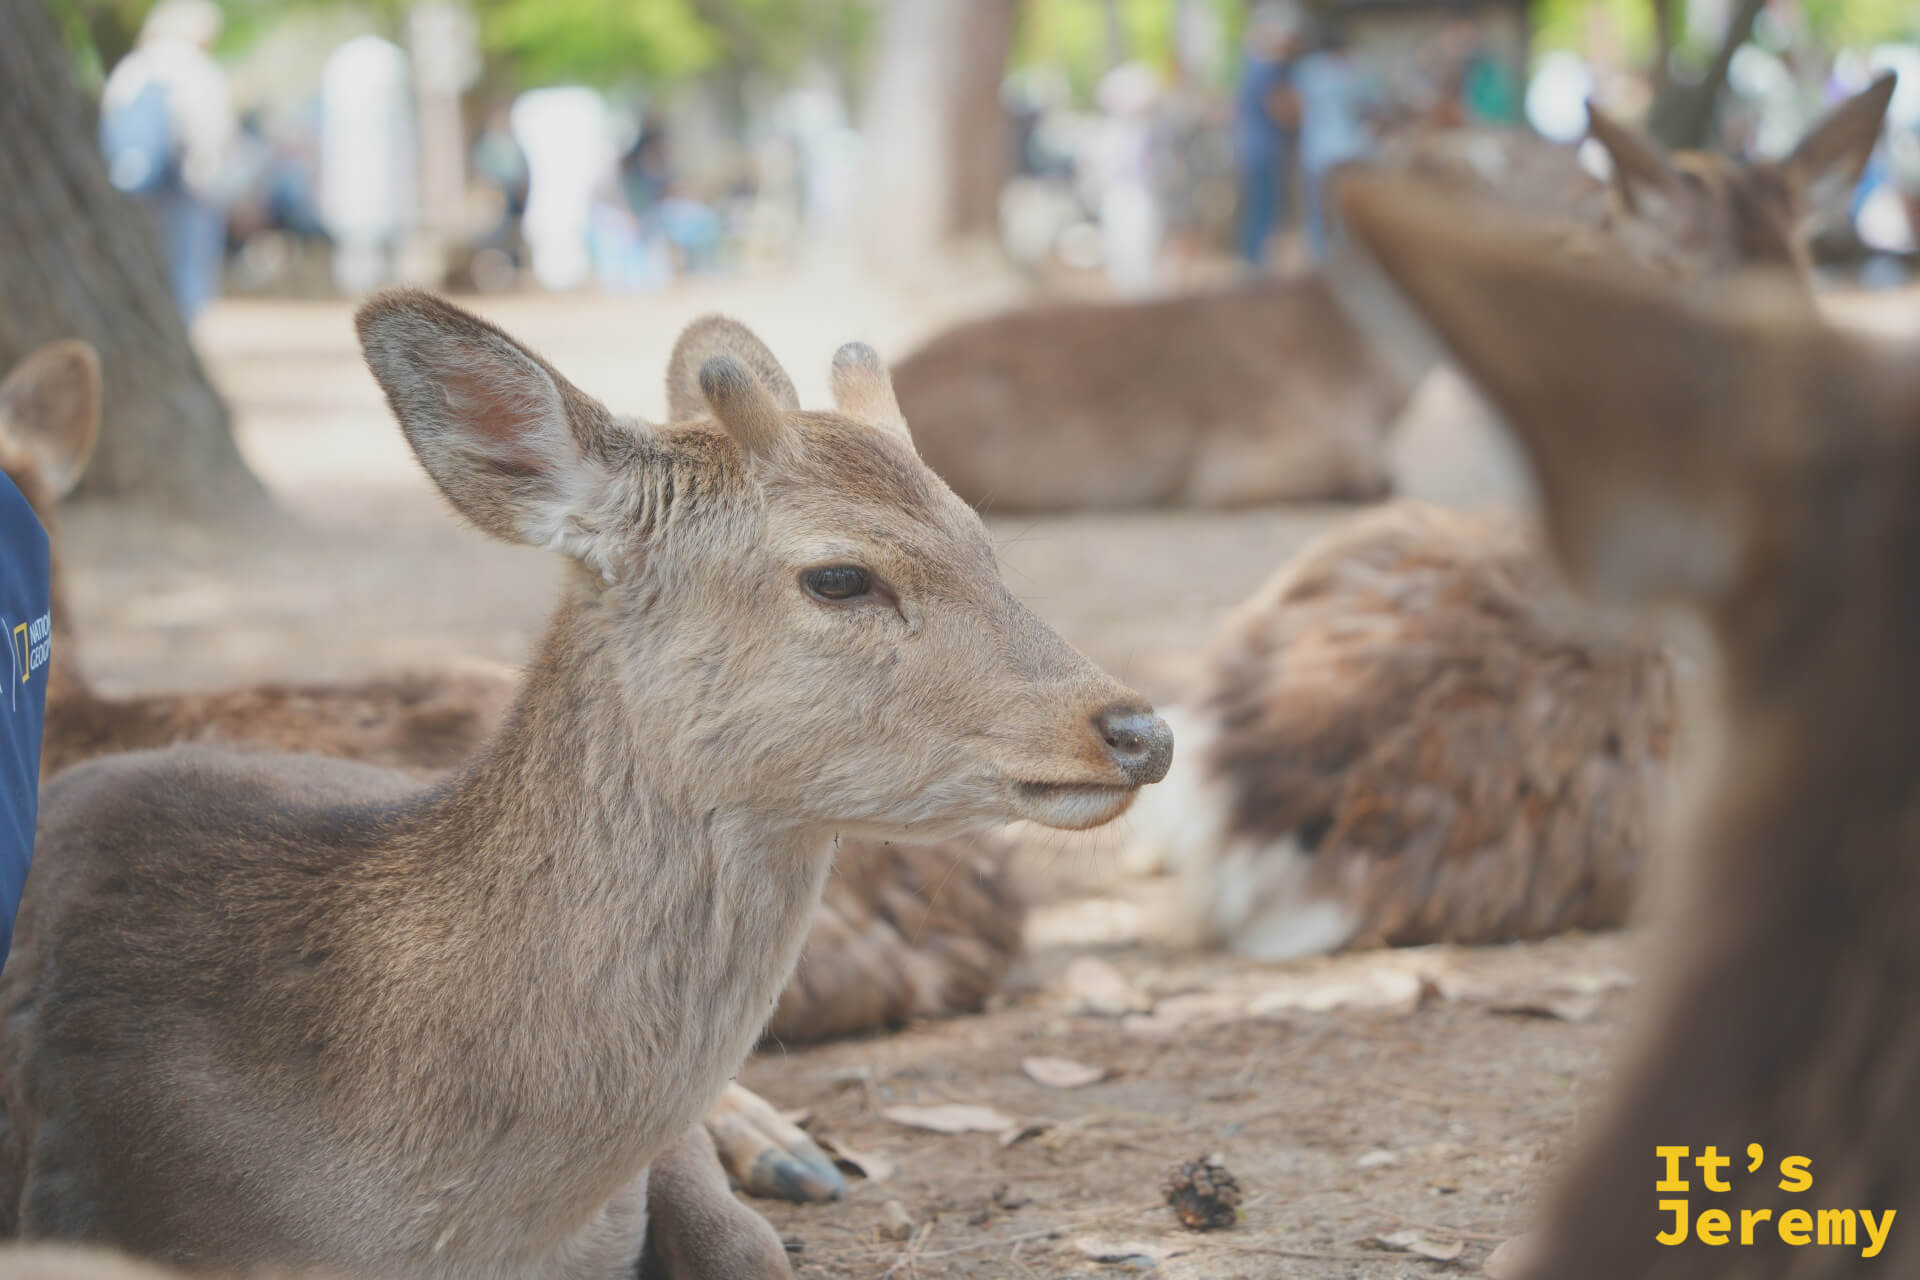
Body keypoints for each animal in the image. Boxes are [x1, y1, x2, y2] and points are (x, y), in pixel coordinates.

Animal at [890, 74, 1896, 513]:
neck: (1361, 382)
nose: (1594, 199)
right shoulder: (1246, 453)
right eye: (1464, 167)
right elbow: (1367, 475)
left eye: (1555, 142)